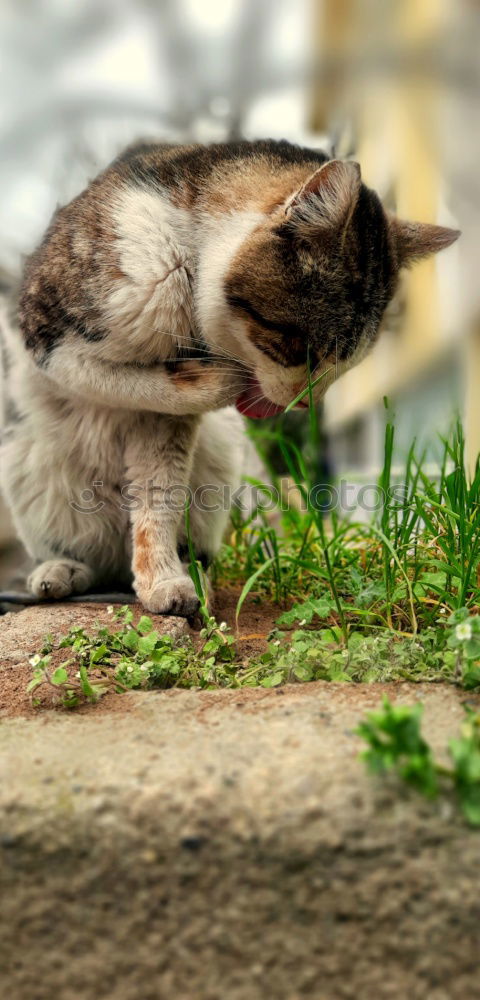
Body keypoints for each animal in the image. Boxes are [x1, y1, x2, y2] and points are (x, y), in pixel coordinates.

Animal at [0, 137, 458, 612]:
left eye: (346, 366)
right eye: (299, 349)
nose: (307, 403)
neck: (183, 261)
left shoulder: (164, 428)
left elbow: (158, 497)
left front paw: (163, 581)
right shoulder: (43, 336)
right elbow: (116, 378)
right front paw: (221, 380)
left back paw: (191, 572)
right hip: (23, 460)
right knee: (79, 554)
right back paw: (60, 571)